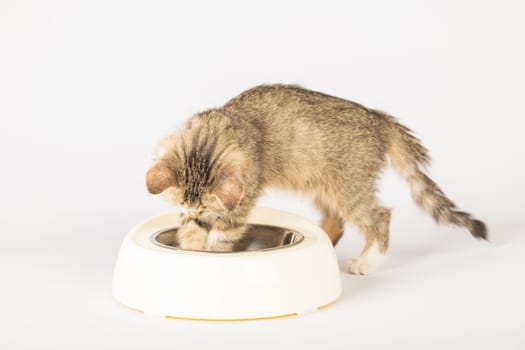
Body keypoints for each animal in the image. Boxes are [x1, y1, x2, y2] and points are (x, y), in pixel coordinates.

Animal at [144, 84, 488, 274]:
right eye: (186, 207)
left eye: (206, 209)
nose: (195, 215)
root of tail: (378, 119)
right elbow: (191, 232)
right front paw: (190, 248)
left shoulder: (239, 203)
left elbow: (221, 237)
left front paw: (207, 255)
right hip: (323, 186)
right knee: (336, 221)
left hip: (350, 188)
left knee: (380, 217)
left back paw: (367, 262)